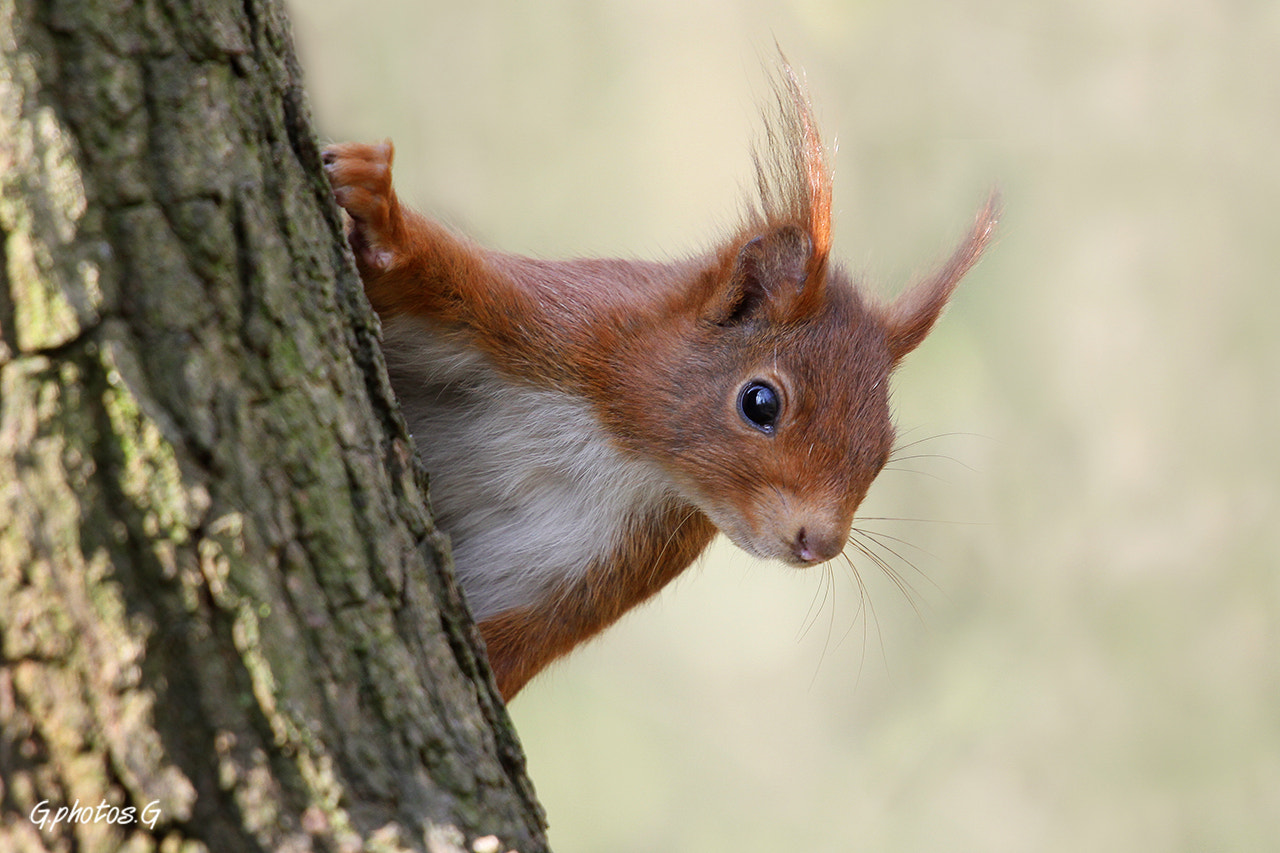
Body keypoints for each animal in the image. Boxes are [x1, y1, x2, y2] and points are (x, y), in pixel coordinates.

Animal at [322, 66, 998, 701]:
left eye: (882, 452)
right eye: (760, 403)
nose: (820, 543)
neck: (624, 448)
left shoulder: (609, 564)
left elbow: (518, 641)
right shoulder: (555, 320)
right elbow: (419, 271)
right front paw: (378, 209)